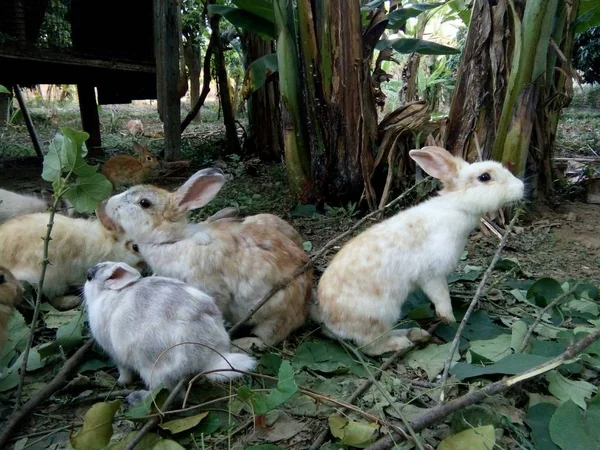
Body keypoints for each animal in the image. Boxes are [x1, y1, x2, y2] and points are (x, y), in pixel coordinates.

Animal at [83, 262, 256, 392]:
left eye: (89, 277)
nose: (87, 274)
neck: (107, 293)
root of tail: (212, 354)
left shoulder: (115, 354)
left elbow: (123, 370)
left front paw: (121, 382)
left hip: (155, 371)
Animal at [97, 169, 314, 348]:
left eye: (144, 203)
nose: (109, 203)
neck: (172, 240)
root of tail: (304, 305)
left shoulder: (210, 287)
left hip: (273, 315)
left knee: (267, 339)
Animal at [312, 146, 524, 356]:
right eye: (485, 177)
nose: (521, 187)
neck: (457, 206)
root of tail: (325, 317)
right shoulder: (432, 275)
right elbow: (441, 295)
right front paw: (448, 318)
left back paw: (415, 334)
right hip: (379, 315)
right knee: (370, 346)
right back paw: (401, 343)